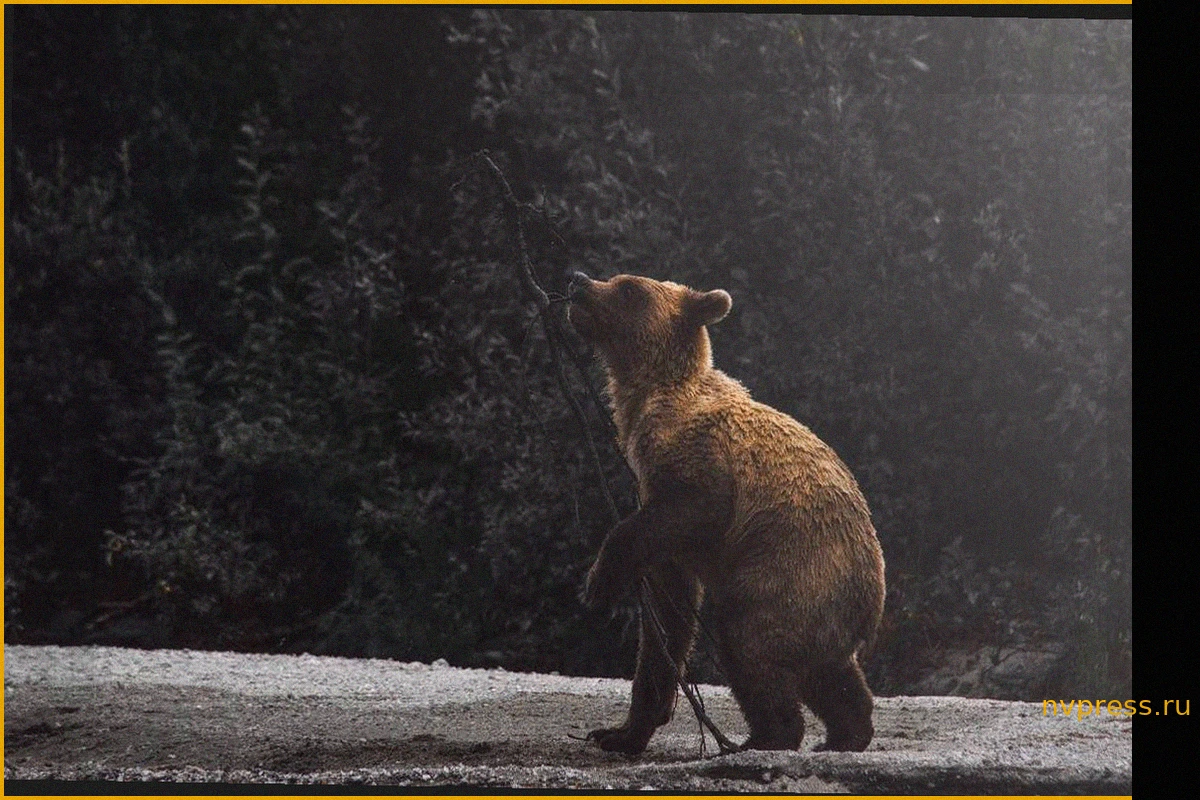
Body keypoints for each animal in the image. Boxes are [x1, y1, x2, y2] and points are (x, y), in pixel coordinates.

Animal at [567, 270, 885, 755]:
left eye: (629, 287)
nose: (579, 281)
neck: (646, 404)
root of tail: (873, 604)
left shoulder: (700, 463)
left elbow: (692, 511)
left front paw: (598, 582)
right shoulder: (657, 516)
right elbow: (665, 623)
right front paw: (619, 733)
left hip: (792, 571)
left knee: (749, 641)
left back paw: (766, 736)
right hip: (820, 607)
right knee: (828, 672)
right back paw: (845, 733)